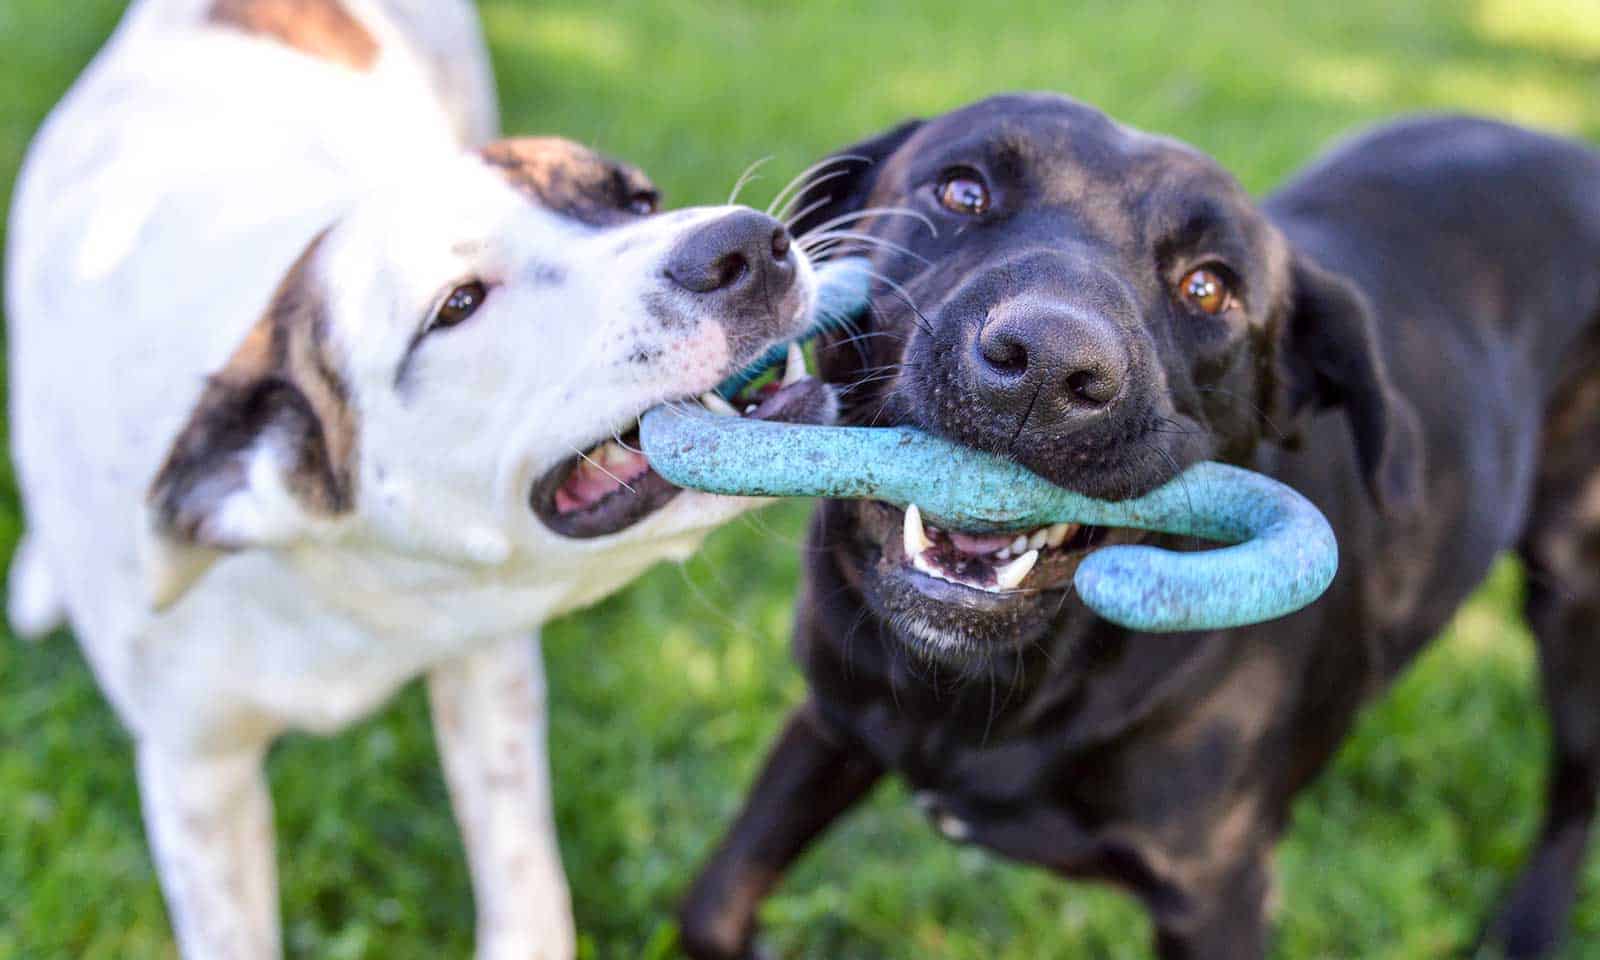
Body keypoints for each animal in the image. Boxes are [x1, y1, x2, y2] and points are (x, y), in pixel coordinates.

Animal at [9, 3, 838, 953]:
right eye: (458, 305)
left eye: (637, 201)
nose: (747, 244)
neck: (331, 567)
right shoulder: (195, 775)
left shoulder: (488, 664)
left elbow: (522, 880)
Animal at [675, 92, 1600, 960]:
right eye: (963, 191)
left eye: (1208, 286)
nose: (1046, 369)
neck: (988, 698)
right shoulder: (829, 723)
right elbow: (713, 904)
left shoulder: (1218, 894)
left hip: (1573, 603)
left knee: (1574, 789)